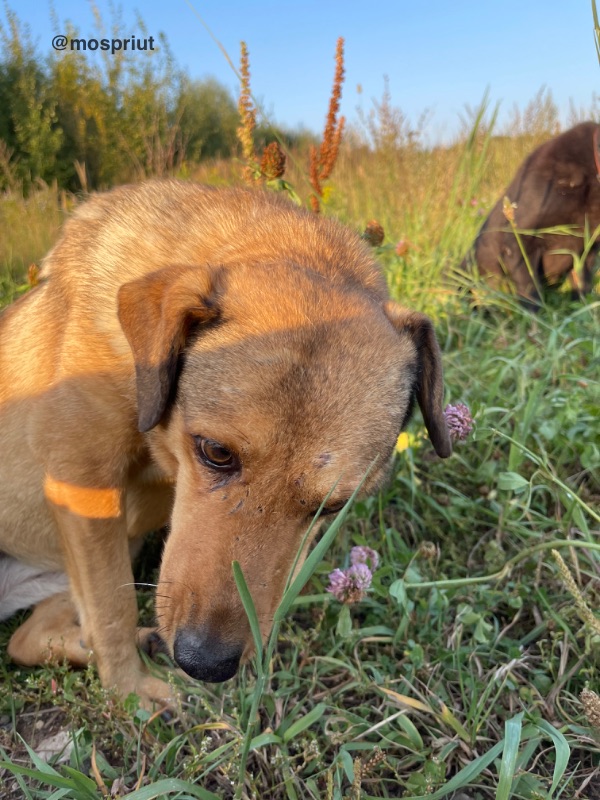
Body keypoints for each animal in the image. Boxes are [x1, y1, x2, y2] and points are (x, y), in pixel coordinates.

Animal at [0, 181, 450, 708]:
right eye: (215, 452)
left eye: (333, 506)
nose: (206, 665)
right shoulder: (83, 483)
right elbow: (113, 607)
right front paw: (130, 692)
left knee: (23, 640)